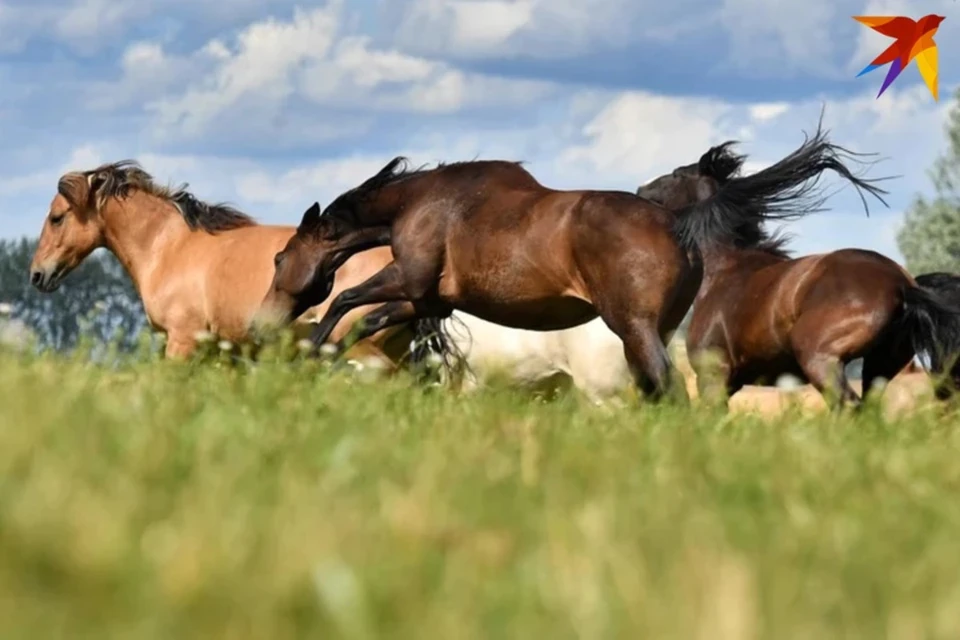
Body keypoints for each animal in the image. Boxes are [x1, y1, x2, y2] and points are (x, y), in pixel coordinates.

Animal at [632, 125, 960, 410]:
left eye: (676, 174)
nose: (640, 189)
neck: (725, 269)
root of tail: (901, 285)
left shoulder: (714, 377)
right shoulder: (734, 381)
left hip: (820, 360)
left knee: (847, 406)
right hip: (879, 367)